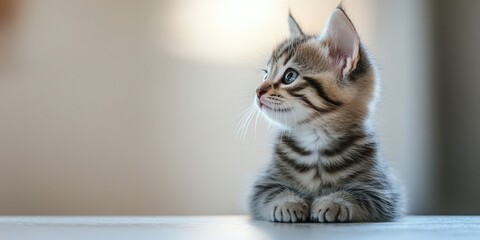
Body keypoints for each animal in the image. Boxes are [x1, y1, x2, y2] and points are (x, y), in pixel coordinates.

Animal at [248, 6, 402, 223]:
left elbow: (359, 195)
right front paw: (288, 202)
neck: (316, 136)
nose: (257, 91)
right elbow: (272, 192)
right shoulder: (262, 185)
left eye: (290, 76)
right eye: (265, 74)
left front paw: (334, 202)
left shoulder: (383, 191)